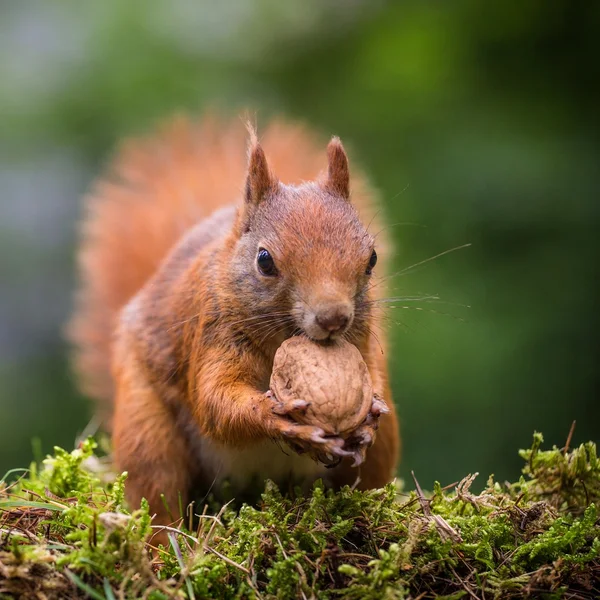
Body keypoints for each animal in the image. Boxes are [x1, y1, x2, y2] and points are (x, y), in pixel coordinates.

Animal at [67, 111, 398, 540]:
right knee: (158, 492)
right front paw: (279, 418)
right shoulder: (211, 333)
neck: (284, 342)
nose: (333, 318)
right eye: (265, 260)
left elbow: (370, 374)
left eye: (371, 257)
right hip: (148, 430)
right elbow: (215, 402)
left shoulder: (362, 340)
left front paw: (370, 411)